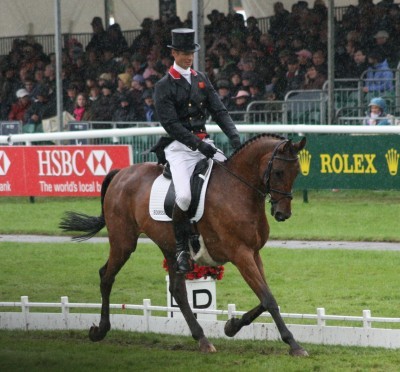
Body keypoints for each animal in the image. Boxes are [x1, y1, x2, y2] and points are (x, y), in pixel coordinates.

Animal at [59, 134, 308, 358]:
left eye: (297, 172)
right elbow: (268, 299)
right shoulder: (240, 253)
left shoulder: (254, 253)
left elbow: (265, 298)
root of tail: (121, 173)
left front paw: (232, 326)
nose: (282, 213)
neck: (237, 189)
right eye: (278, 172)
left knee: (177, 290)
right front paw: (294, 345)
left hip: (169, 247)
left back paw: (203, 339)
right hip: (123, 242)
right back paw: (100, 330)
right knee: (106, 276)